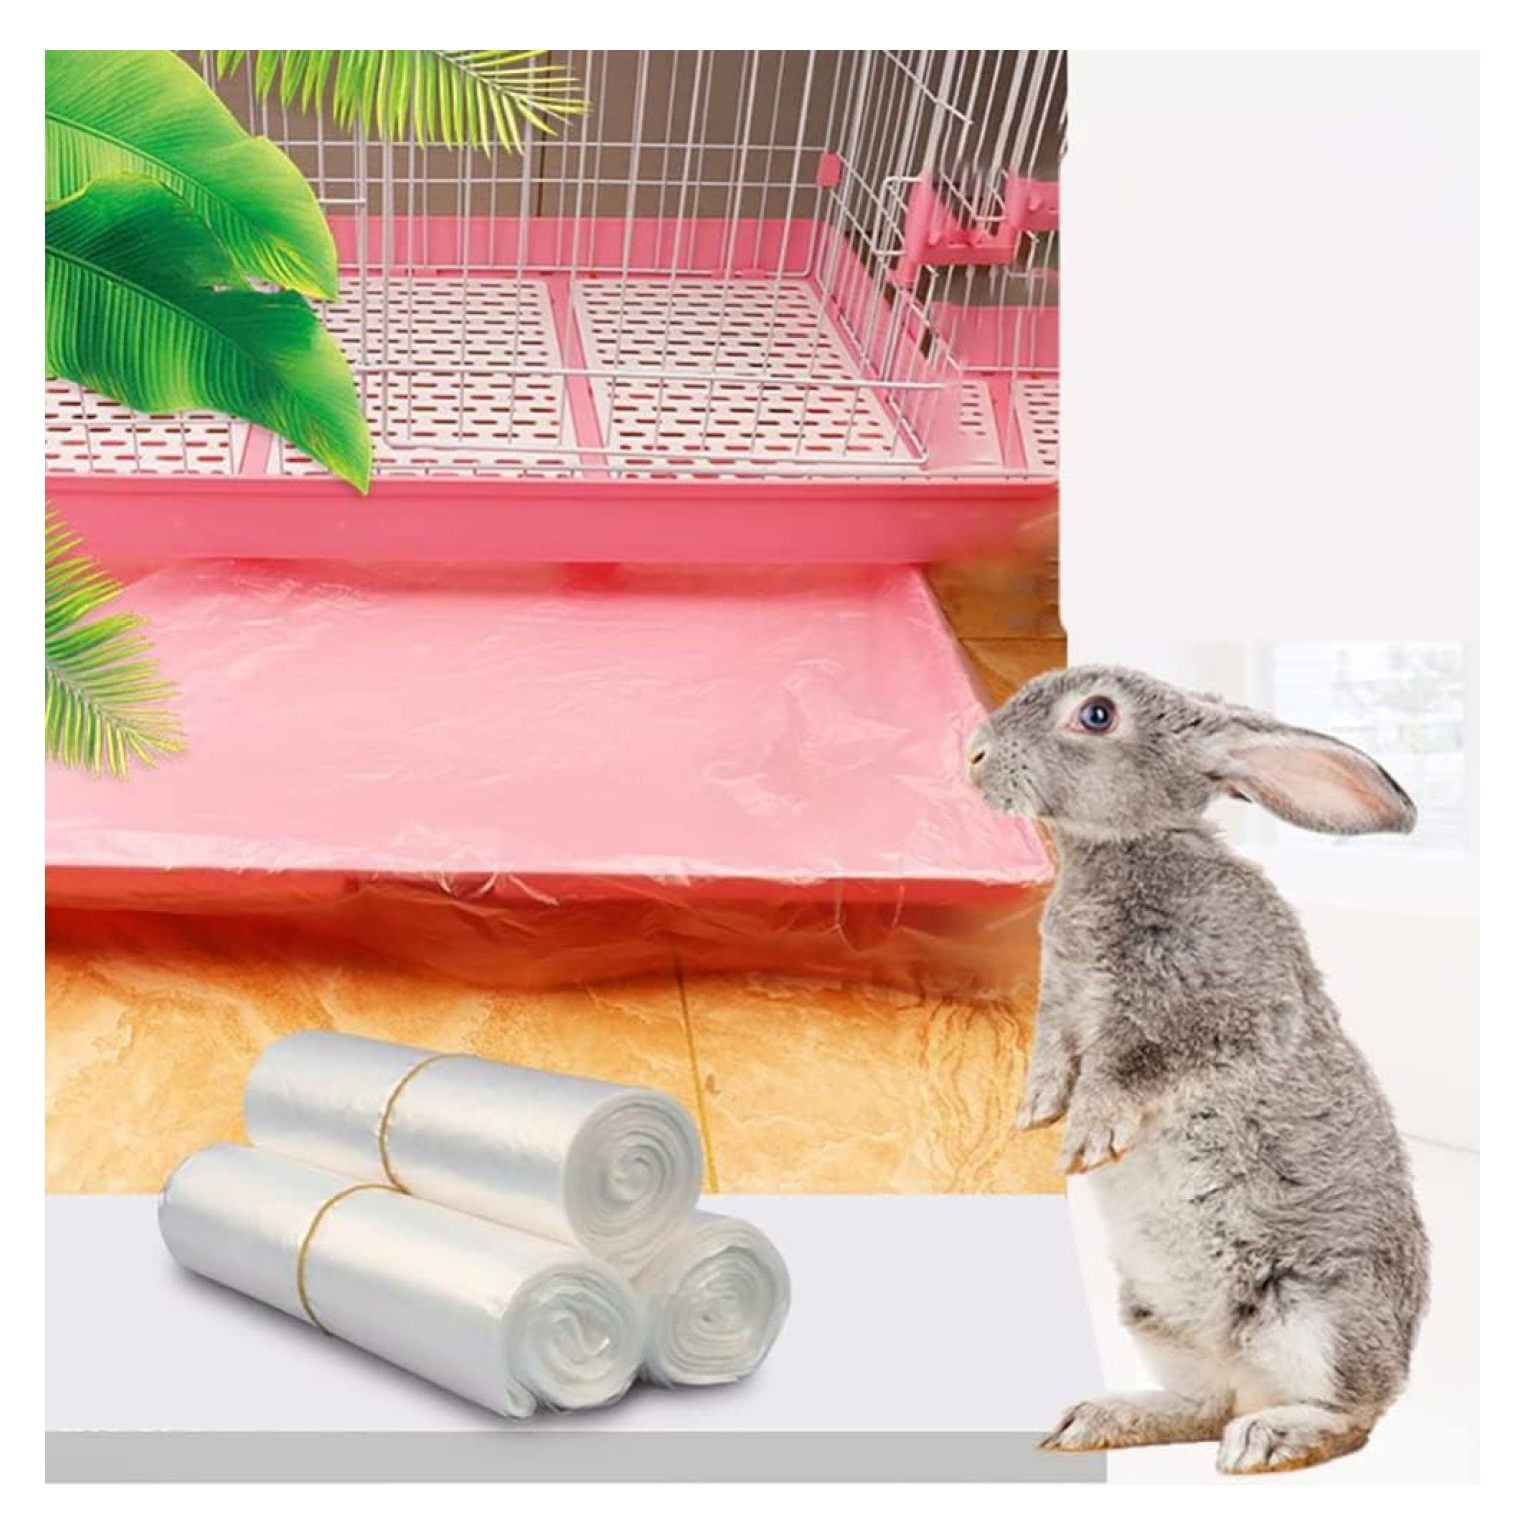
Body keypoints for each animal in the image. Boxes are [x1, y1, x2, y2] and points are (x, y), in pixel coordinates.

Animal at [965, 665, 1429, 1475]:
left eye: (1096, 715)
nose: (975, 755)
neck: (1125, 849)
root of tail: (1251, 1378)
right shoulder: (1063, 1005)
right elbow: (1054, 1052)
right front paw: (1037, 1110)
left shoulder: (1211, 1013)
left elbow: (1133, 1067)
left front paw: (1088, 1137)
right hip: (1155, 1316)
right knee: (1204, 1406)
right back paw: (1102, 1419)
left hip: (1318, 1308)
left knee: (1351, 1414)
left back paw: (1270, 1438)